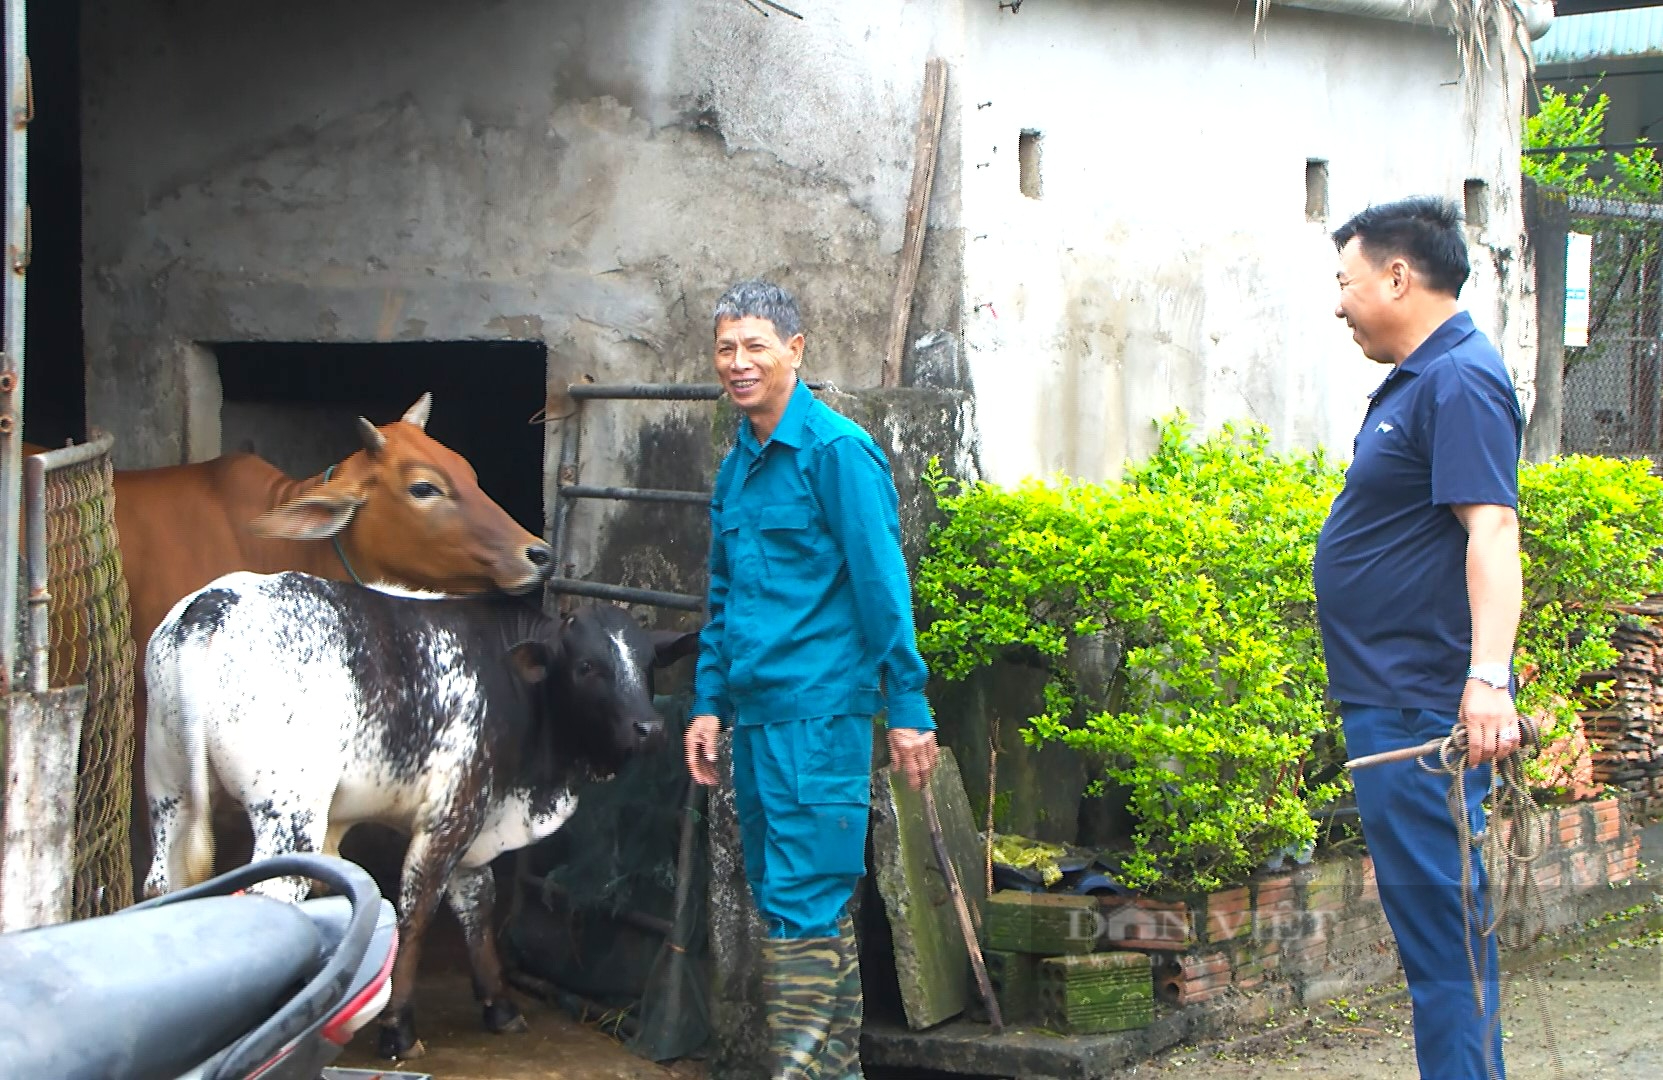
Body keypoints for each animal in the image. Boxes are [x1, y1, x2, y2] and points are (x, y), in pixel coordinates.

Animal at [139, 569, 691, 1058]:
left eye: (647, 664)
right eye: (588, 667)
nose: (649, 728)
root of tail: (216, 605)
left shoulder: (477, 822)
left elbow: (477, 904)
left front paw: (499, 1005)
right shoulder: (454, 811)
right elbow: (417, 910)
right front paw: (399, 1028)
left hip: (170, 789)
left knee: (164, 884)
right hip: (290, 811)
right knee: (271, 895)